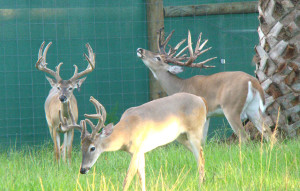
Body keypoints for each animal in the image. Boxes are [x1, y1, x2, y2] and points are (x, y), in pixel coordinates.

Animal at [59, 94, 209, 191]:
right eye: (81, 147)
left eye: (92, 148)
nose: (83, 170)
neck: (127, 130)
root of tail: (202, 100)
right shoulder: (140, 151)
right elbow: (141, 176)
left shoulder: (136, 149)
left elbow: (128, 178)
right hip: (181, 136)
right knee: (201, 155)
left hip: (194, 131)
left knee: (200, 158)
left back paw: (200, 186)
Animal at [137, 27, 274, 143]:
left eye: (158, 58)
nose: (140, 50)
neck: (180, 87)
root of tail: (252, 80)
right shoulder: (207, 115)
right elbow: (203, 140)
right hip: (253, 108)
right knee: (268, 132)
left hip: (232, 107)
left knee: (244, 137)